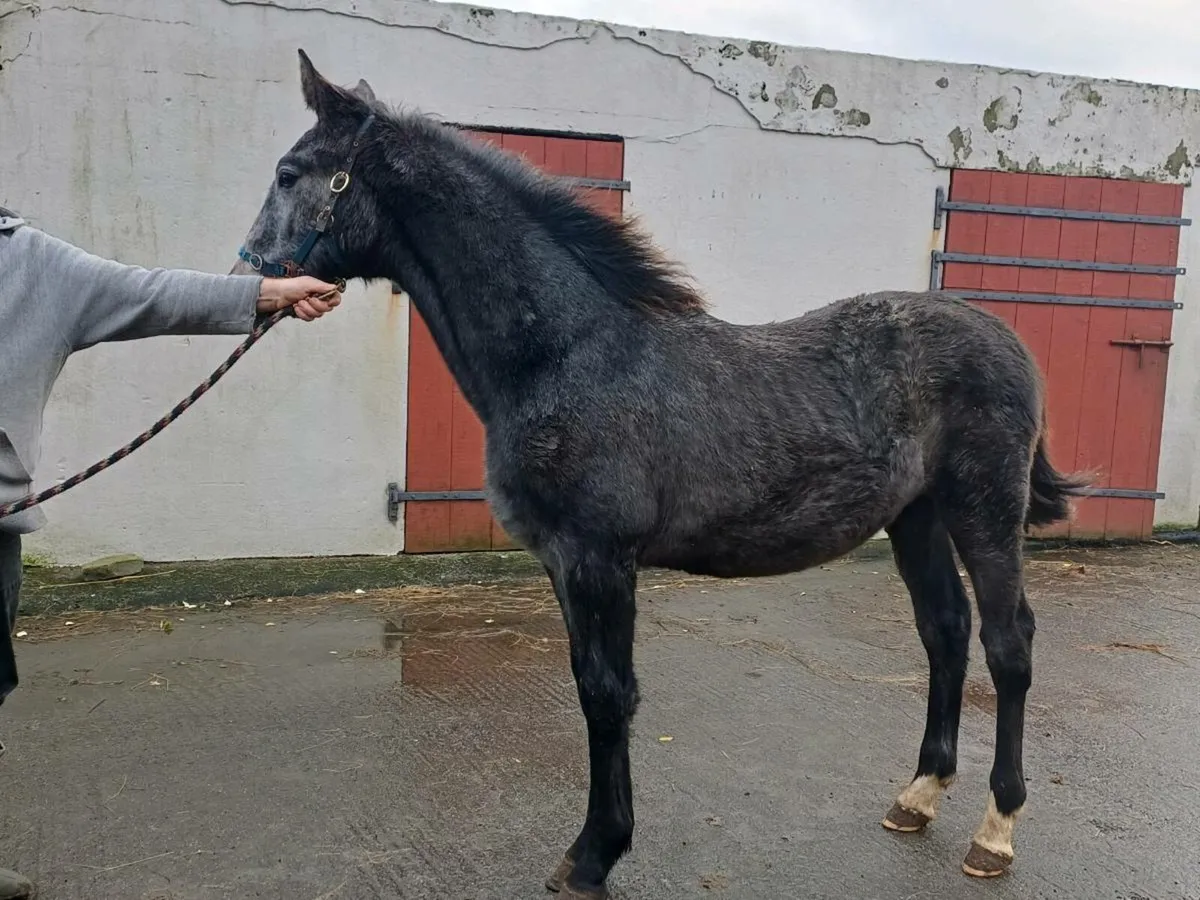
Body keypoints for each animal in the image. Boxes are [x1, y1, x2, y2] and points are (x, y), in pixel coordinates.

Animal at [232, 50, 1089, 898]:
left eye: (289, 172)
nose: (255, 283)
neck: (567, 354)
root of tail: (1004, 335)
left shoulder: (600, 558)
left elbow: (609, 696)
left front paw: (593, 855)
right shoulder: (563, 563)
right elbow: (590, 684)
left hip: (984, 509)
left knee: (1008, 643)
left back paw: (995, 830)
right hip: (916, 516)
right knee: (944, 631)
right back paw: (918, 795)